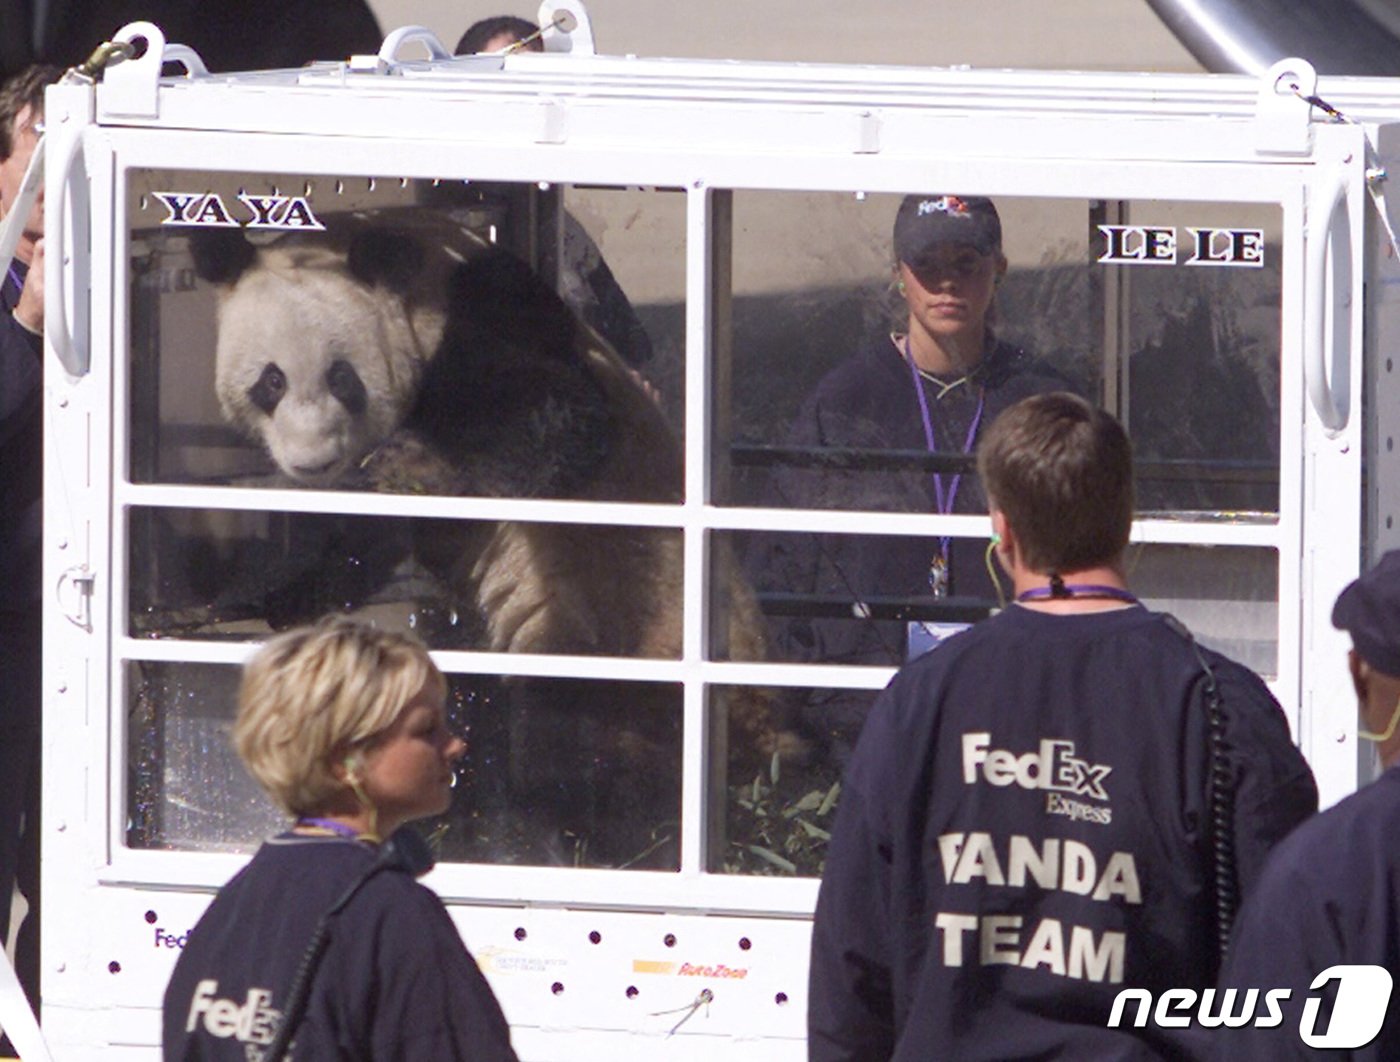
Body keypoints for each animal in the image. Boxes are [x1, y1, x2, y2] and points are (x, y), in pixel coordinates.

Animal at [191, 215, 784, 873]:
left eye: (340, 377)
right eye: (270, 381)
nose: (311, 460)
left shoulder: (490, 309)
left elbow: (558, 414)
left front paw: (414, 462)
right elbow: (366, 538)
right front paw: (279, 595)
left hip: (630, 633)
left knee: (577, 737)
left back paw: (585, 841)